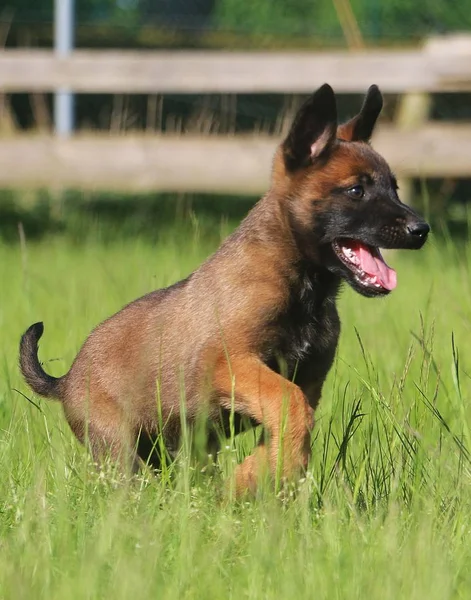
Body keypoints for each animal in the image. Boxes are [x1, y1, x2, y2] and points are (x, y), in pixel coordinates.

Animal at [20, 85, 430, 496]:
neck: (304, 288)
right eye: (356, 190)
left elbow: (295, 419)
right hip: (120, 449)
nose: (421, 230)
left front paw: (255, 476)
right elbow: (291, 406)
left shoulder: (307, 381)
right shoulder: (228, 361)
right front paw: (259, 475)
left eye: (394, 188)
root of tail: (67, 379)